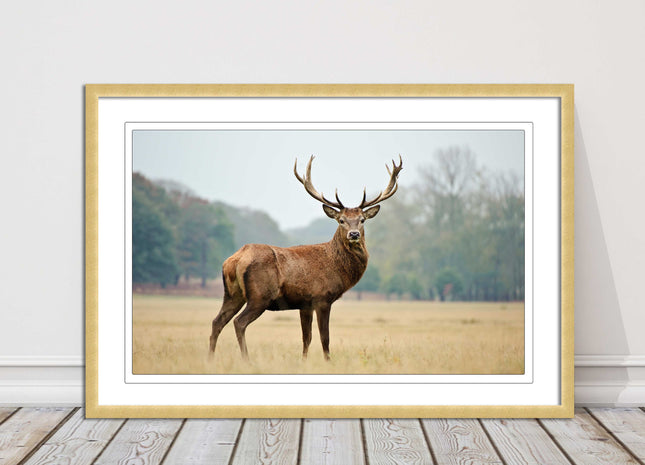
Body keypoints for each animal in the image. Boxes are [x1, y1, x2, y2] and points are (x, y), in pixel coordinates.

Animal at [208, 155, 403, 361]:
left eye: (362, 220)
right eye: (341, 220)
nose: (354, 234)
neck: (336, 266)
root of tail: (235, 259)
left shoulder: (305, 304)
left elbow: (306, 338)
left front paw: (303, 361)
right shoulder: (322, 297)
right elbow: (325, 337)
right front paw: (328, 361)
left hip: (232, 293)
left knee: (217, 321)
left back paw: (210, 359)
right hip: (259, 295)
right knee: (239, 322)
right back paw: (246, 360)